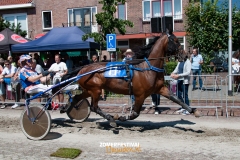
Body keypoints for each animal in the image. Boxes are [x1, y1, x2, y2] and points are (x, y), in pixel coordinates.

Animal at [63, 33, 201, 127]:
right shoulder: (140, 94)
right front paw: (121, 117)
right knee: (94, 107)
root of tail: (83, 68)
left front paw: (193, 111)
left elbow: (177, 99)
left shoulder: (160, 88)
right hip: (95, 90)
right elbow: (135, 113)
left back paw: (66, 109)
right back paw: (111, 120)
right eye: (176, 41)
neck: (148, 69)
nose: (185, 55)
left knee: (76, 98)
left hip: (89, 90)